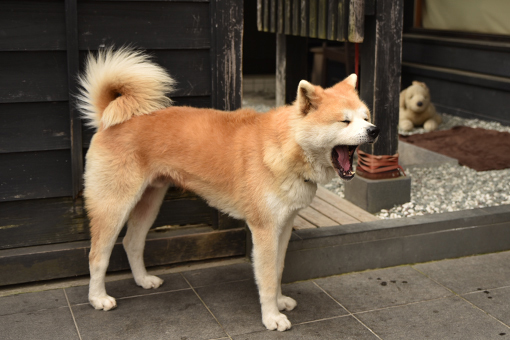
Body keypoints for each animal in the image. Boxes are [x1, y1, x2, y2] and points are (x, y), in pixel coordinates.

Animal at [76, 46, 378, 330]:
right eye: (344, 121)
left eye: (365, 117)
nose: (374, 130)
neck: (285, 147)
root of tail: (108, 118)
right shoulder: (264, 230)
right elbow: (267, 278)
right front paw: (272, 317)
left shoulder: (284, 225)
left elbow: (278, 270)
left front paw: (280, 302)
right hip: (114, 206)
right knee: (97, 255)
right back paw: (98, 298)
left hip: (149, 202)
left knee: (132, 243)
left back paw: (143, 280)